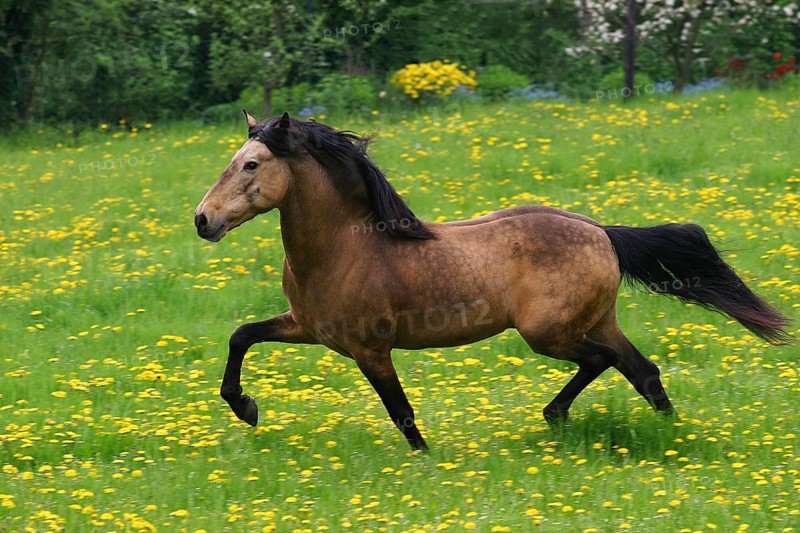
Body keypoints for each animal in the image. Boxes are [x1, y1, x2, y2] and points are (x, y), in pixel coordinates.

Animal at [193, 110, 791, 451]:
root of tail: (601, 232)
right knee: (642, 371)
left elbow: (401, 411)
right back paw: (670, 434)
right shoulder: (308, 328)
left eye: (251, 165)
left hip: (548, 332)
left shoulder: (370, 349)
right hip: (599, 319)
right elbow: (242, 335)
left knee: (603, 361)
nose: (203, 220)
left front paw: (426, 462)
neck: (348, 246)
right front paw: (245, 407)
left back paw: (556, 416)